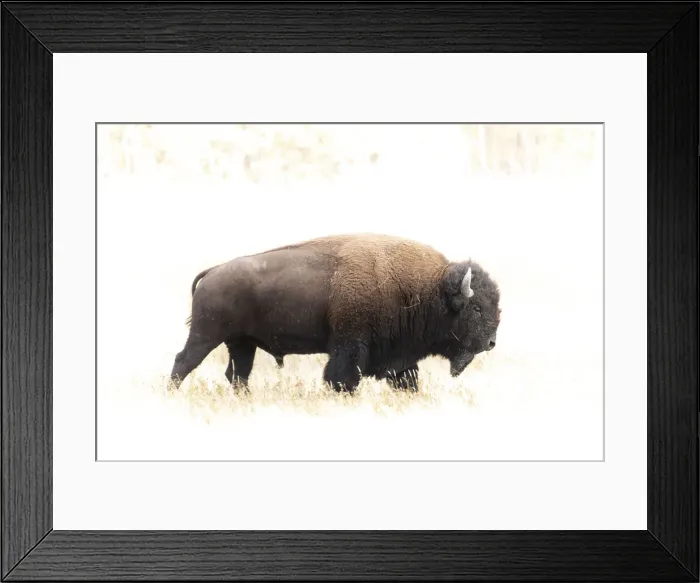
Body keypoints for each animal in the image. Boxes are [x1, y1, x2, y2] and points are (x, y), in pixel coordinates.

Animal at [170, 233, 501, 393]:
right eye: (476, 308)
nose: (491, 343)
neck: (428, 287)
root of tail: (213, 271)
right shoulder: (350, 346)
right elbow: (341, 378)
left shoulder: (400, 358)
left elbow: (406, 380)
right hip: (206, 335)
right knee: (184, 362)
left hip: (241, 343)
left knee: (237, 374)